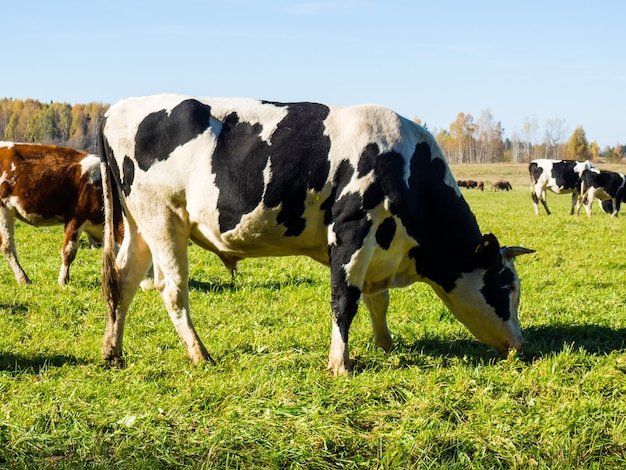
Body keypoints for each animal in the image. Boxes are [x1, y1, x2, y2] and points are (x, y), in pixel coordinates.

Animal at [0, 141, 118, 284]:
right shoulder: (77, 216)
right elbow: (69, 251)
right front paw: (63, 281)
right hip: (3, 209)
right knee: (7, 246)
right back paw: (23, 279)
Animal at [97, 94, 532, 374]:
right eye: (507, 287)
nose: (520, 346)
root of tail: (117, 107)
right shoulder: (352, 228)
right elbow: (345, 300)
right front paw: (340, 364)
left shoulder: (377, 247)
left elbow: (377, 301)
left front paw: (387, 346)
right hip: (163, 218)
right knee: (171, 289)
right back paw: (200, 354)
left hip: (138, 225)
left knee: (124, 281)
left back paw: (113, 352)